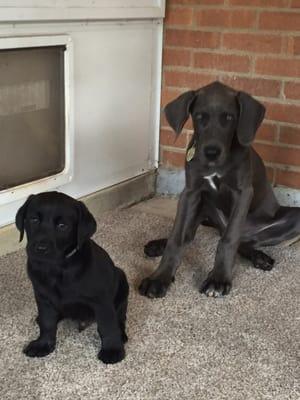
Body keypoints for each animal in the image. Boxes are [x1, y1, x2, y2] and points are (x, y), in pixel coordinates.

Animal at [16, 192, 129, 364]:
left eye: (62, 226)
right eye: (33, 220)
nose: (40, 248)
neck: (57, 268)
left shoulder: (102, 301)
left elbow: (108, 325)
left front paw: (112, 350)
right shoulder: (43, 297)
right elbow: (47, 322)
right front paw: (43, 344)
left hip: (122, 283)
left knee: (120, 318)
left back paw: (121, 335)